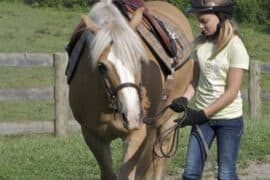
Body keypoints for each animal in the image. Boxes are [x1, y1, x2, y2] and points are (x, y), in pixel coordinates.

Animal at [67, 0, 194, 179]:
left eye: (140, 60)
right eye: (101, 66)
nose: (133, 115)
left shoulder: (137, 135)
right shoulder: (93, 137)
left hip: (169, 122)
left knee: (158, 160)